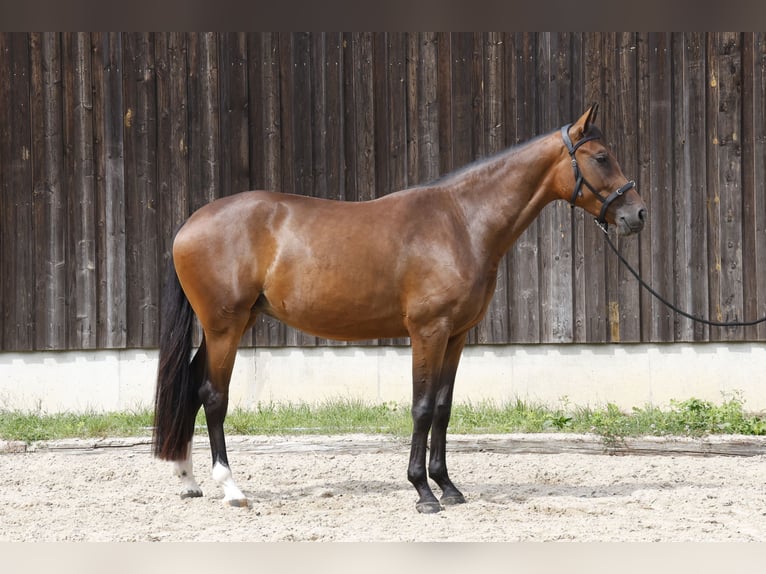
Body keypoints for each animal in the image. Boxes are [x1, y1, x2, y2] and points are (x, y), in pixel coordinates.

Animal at [154, 106, 648, 516]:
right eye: (602, 157)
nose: (637, 215)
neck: (460, 222)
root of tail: (189, 224)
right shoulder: (428, 332)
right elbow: (422, 408)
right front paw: (423, 492)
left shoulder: (456, 335)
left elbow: (444, 407)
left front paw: (448, 487)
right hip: (226, 325)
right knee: (213, 396)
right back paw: (231, 489)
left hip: (229, 324)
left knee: (191, 388)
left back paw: (189, 480)